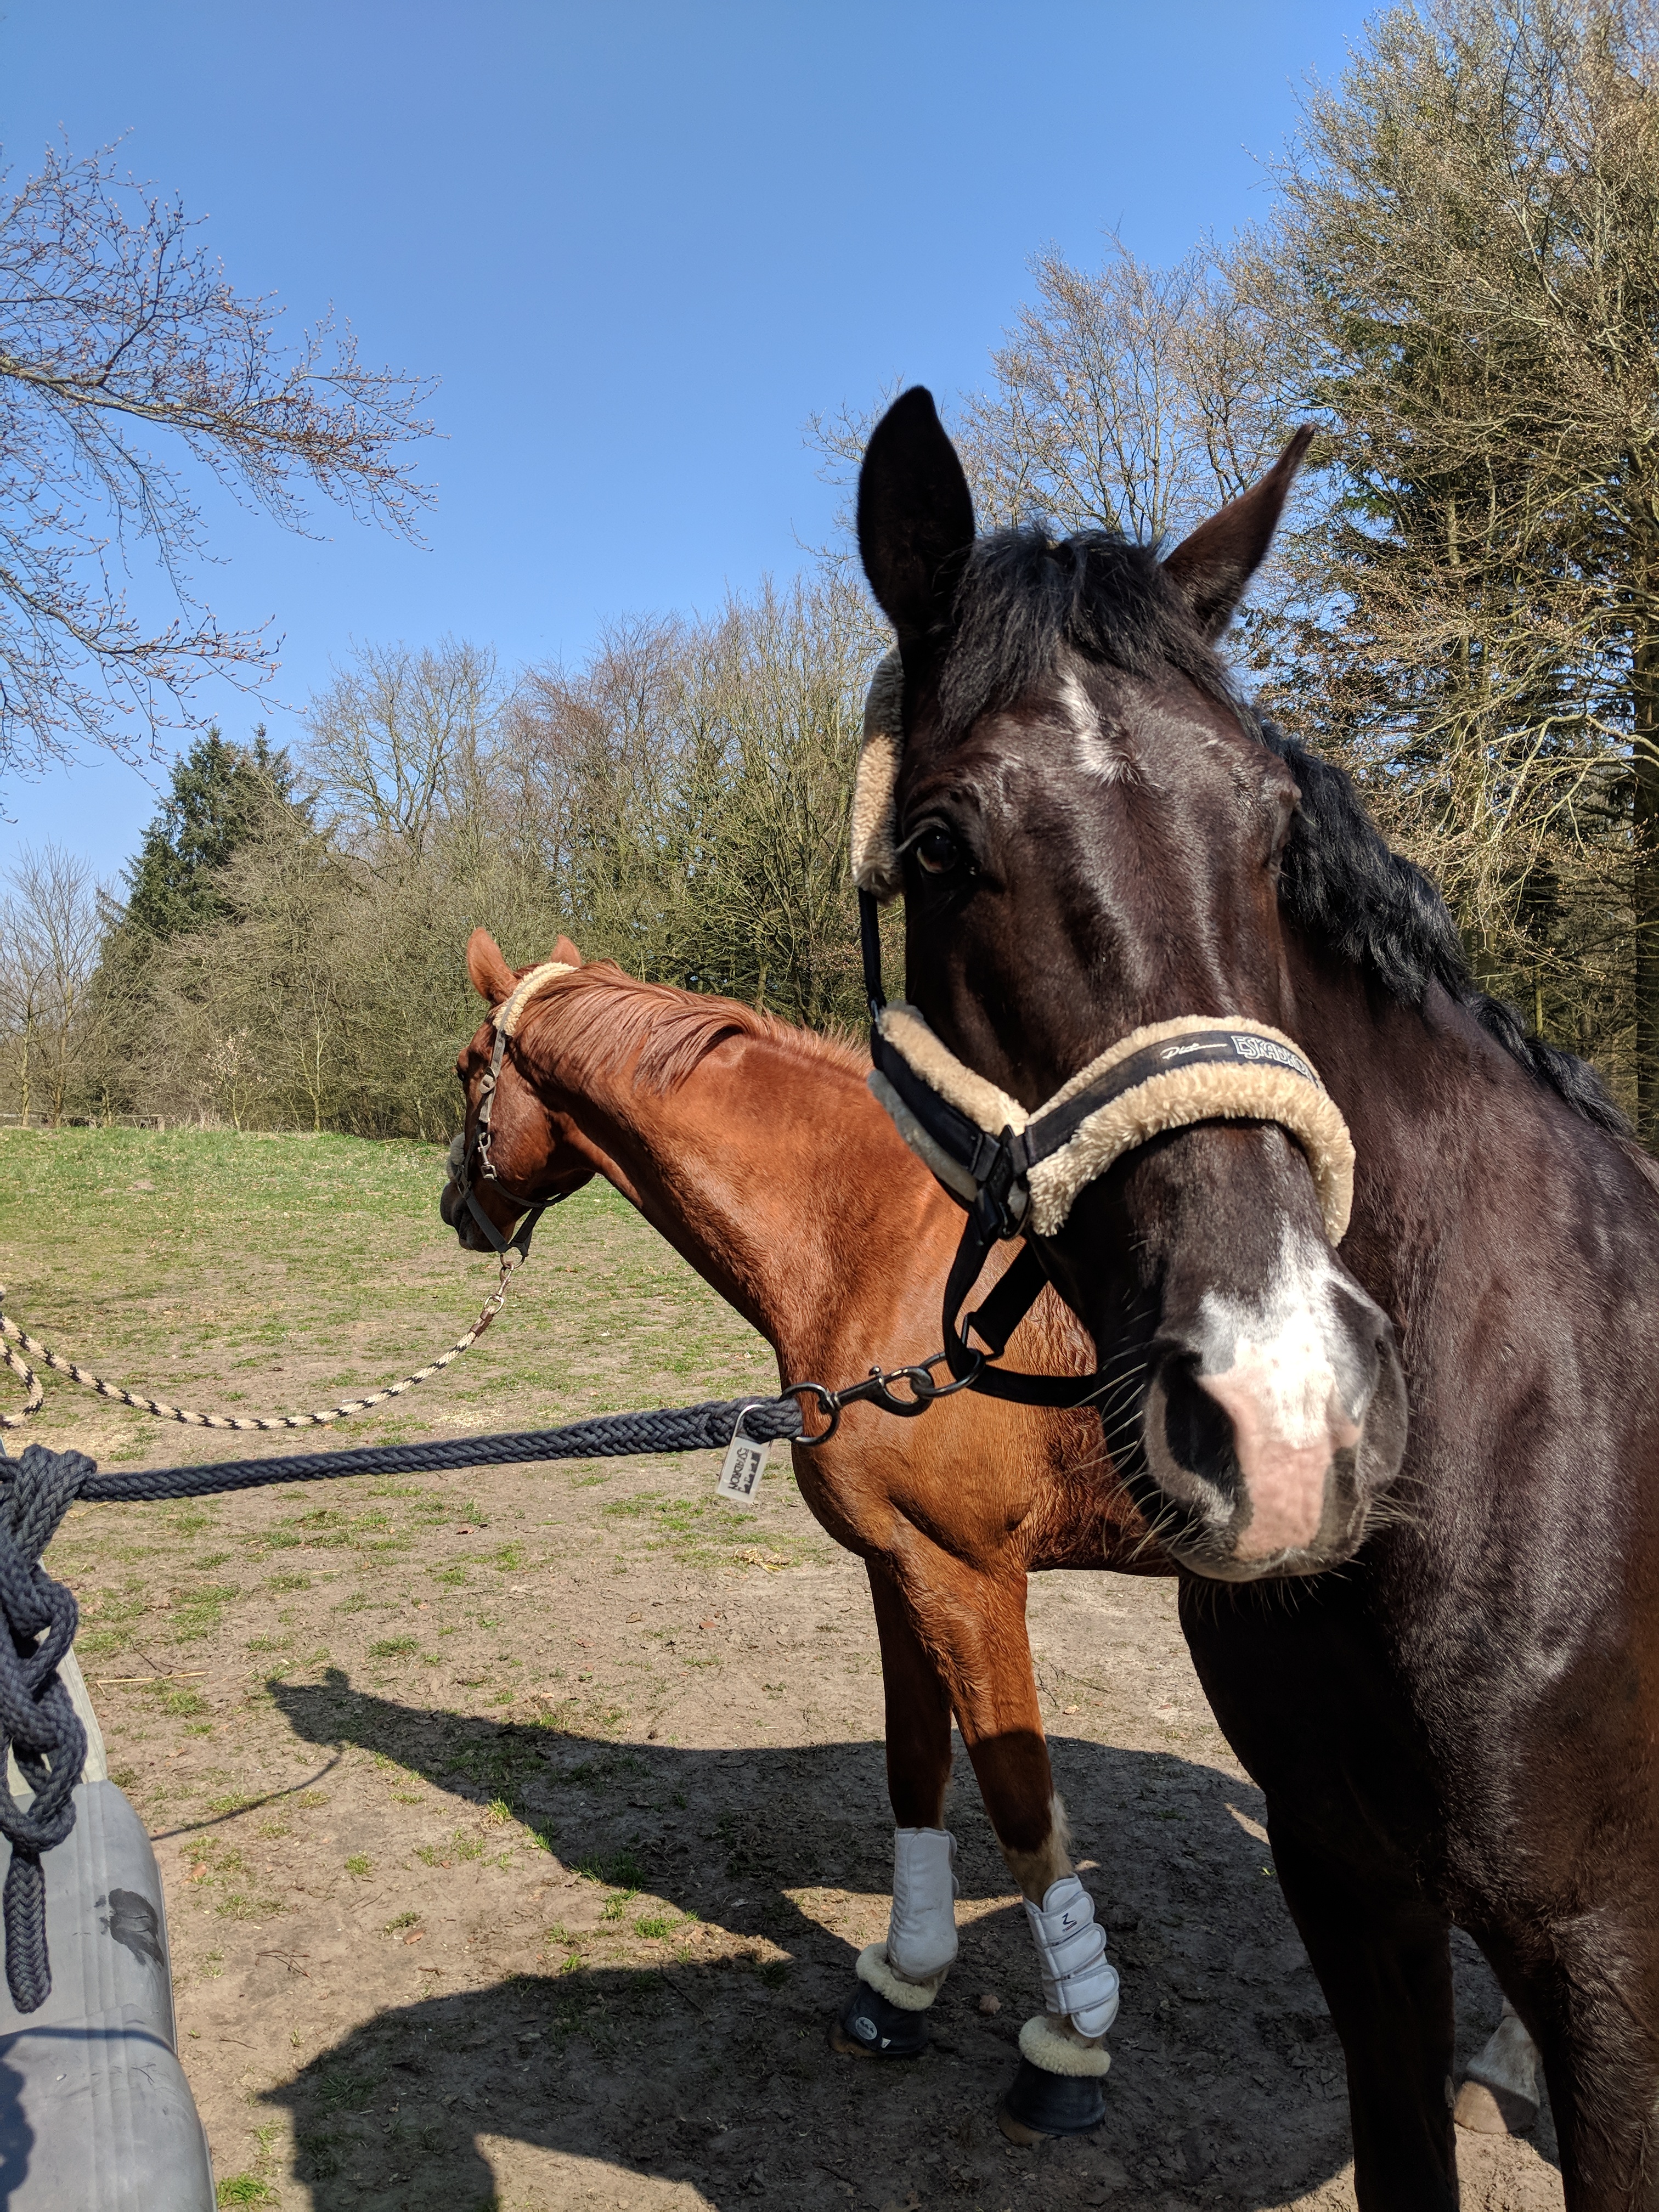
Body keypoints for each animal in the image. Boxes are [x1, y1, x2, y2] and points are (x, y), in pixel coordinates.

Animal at [438, 929, 1547, 2153]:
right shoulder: (899, 1568)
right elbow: (915, 1771)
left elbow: (1020, 1803)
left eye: (468, 1069)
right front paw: (900, 1984)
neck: (876, 1246)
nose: (457, 1209)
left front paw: (1069, 2041)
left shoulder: (971, 1577)